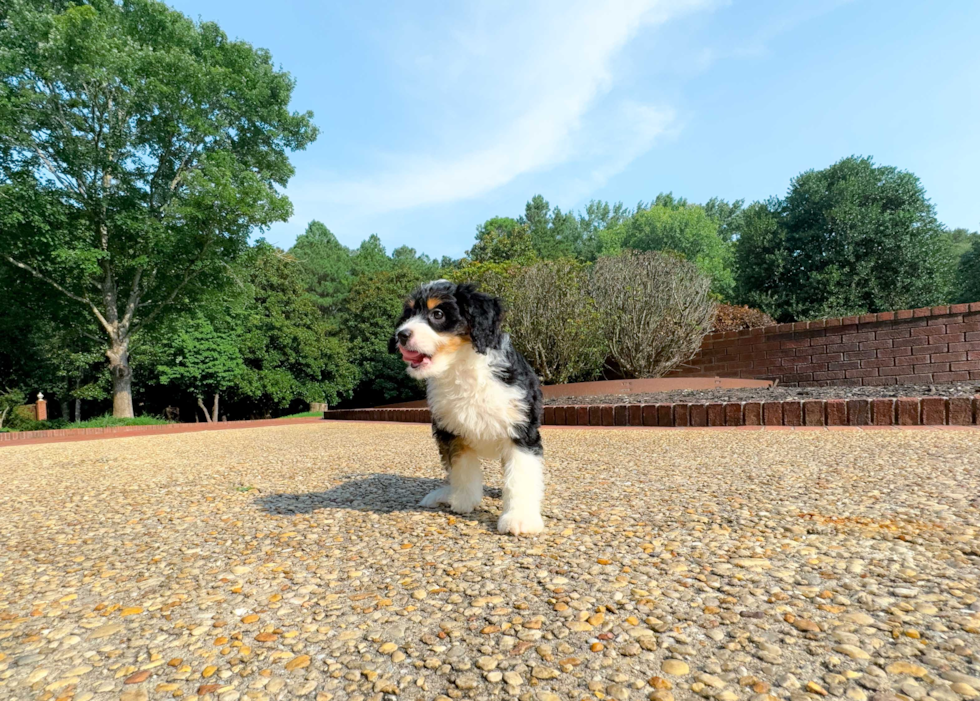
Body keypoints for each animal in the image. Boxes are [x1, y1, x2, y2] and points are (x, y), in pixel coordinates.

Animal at [390, 278, 544, 536]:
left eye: (438, 314)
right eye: (409, 314)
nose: (401, 335)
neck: (461, 368)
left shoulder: (522, 429)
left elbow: (520, 476)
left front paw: (519, 517)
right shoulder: (451, 432)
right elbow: (463, 470)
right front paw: (464, 501)